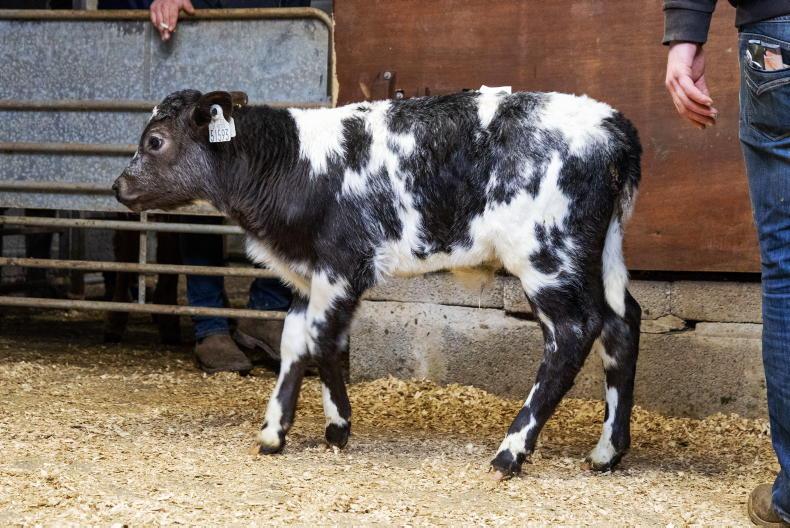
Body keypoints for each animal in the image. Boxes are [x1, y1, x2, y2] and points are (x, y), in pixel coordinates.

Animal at [113, 89, 642, 478]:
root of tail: (614, 126)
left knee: (572, 333)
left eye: (155, 140)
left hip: (547, 255)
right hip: (596, 255)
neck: (296, 164)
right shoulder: (309, 274)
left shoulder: (345, 265)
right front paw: (275, 429)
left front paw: (337, 425)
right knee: (621, 322)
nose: (118, 187)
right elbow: (293, 340)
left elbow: (321, 339)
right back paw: (607, 451)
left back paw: (510, 451)